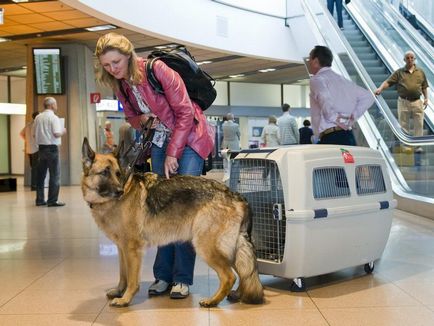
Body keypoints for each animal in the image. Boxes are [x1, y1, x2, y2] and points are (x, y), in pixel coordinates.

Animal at [81, 138, 264, 308]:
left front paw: (125, 299)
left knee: (229, 276)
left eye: (118, 174)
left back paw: (212, 301)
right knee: (244, 272)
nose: (119, 191)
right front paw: (119, 291)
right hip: (231, 248)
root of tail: (235, 195)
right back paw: (237, 295)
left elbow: (132, 280)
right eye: (105, 173)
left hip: (206, 247)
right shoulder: (122, 248)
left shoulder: (132, 249)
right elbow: (123, 275)